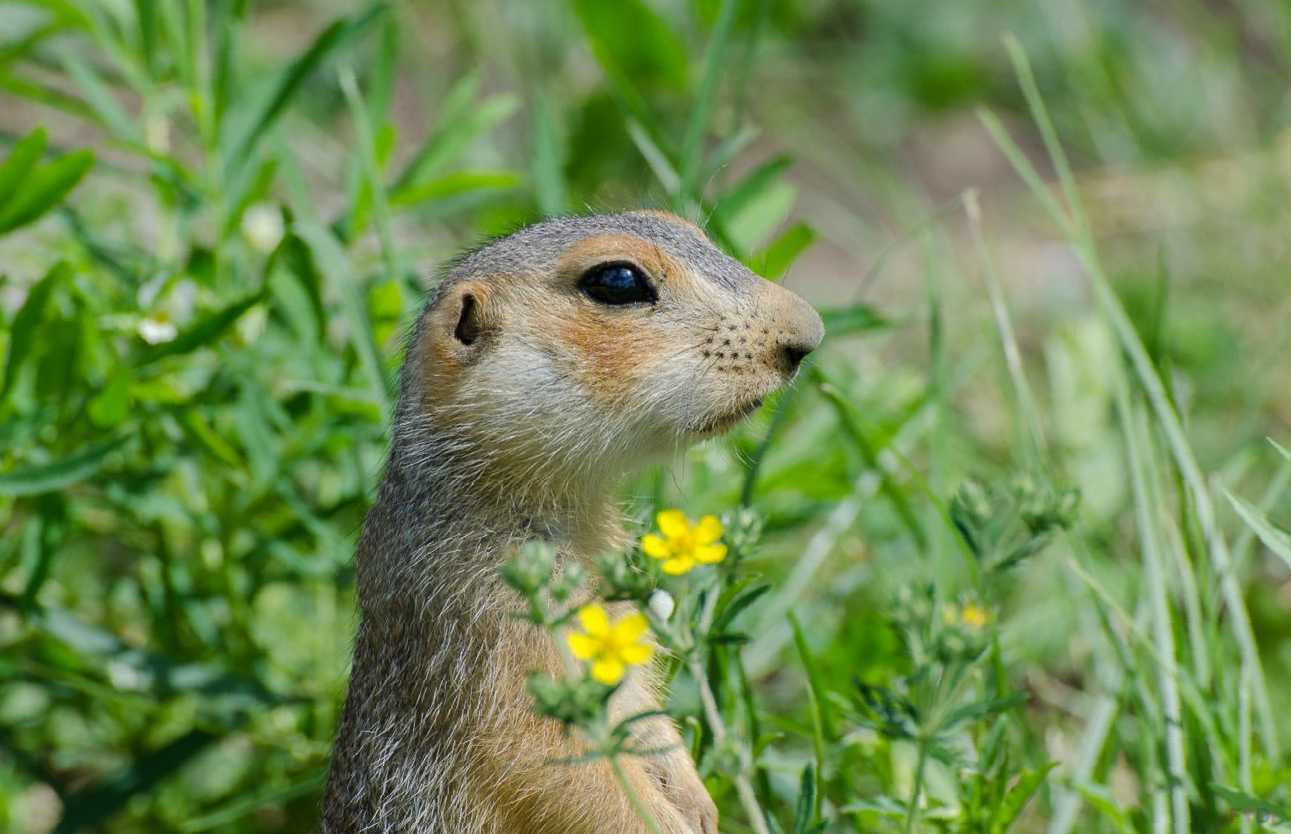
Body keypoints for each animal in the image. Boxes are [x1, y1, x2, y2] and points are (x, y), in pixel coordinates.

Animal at [322, 213, 826, 831]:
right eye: (617, 281)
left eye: (690, 229)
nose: (809, 333)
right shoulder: (487, 623)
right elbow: (546, 759)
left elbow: (642, 712)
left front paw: (701, 801)